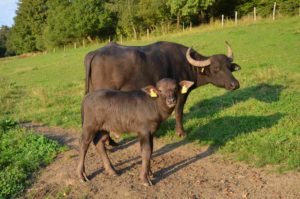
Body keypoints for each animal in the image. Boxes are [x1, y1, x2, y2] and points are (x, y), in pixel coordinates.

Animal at [84, 41, 241, 138]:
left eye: (230, 66)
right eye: (216, 68)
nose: (235, 84)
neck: (186, 64)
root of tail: (94, 53)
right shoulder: (180, 95)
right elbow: (179, 113)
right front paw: (181, 133)